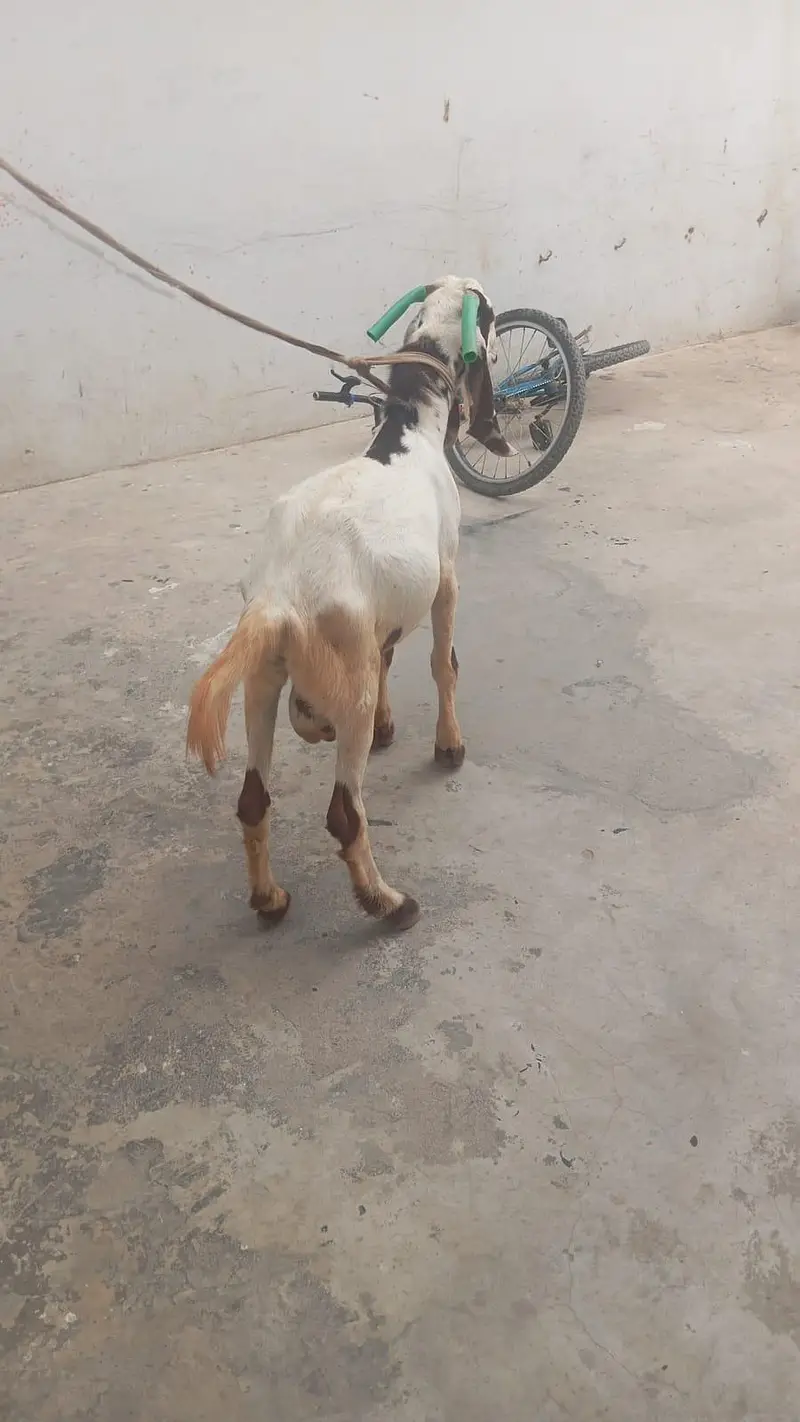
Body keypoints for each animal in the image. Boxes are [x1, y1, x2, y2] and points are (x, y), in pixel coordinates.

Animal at [186, 276, 512, 930]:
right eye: (488, 313)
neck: (408, 434)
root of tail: (277, 598)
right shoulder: (446, 579)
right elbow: (444, 663)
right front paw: (449, 746)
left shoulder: (378, 625)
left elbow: (390, 657)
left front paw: (390, 727)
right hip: (344, 686)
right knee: (344, 814)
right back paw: (388, 904)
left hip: (263, 681)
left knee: (253, 799)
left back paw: (270, 898)